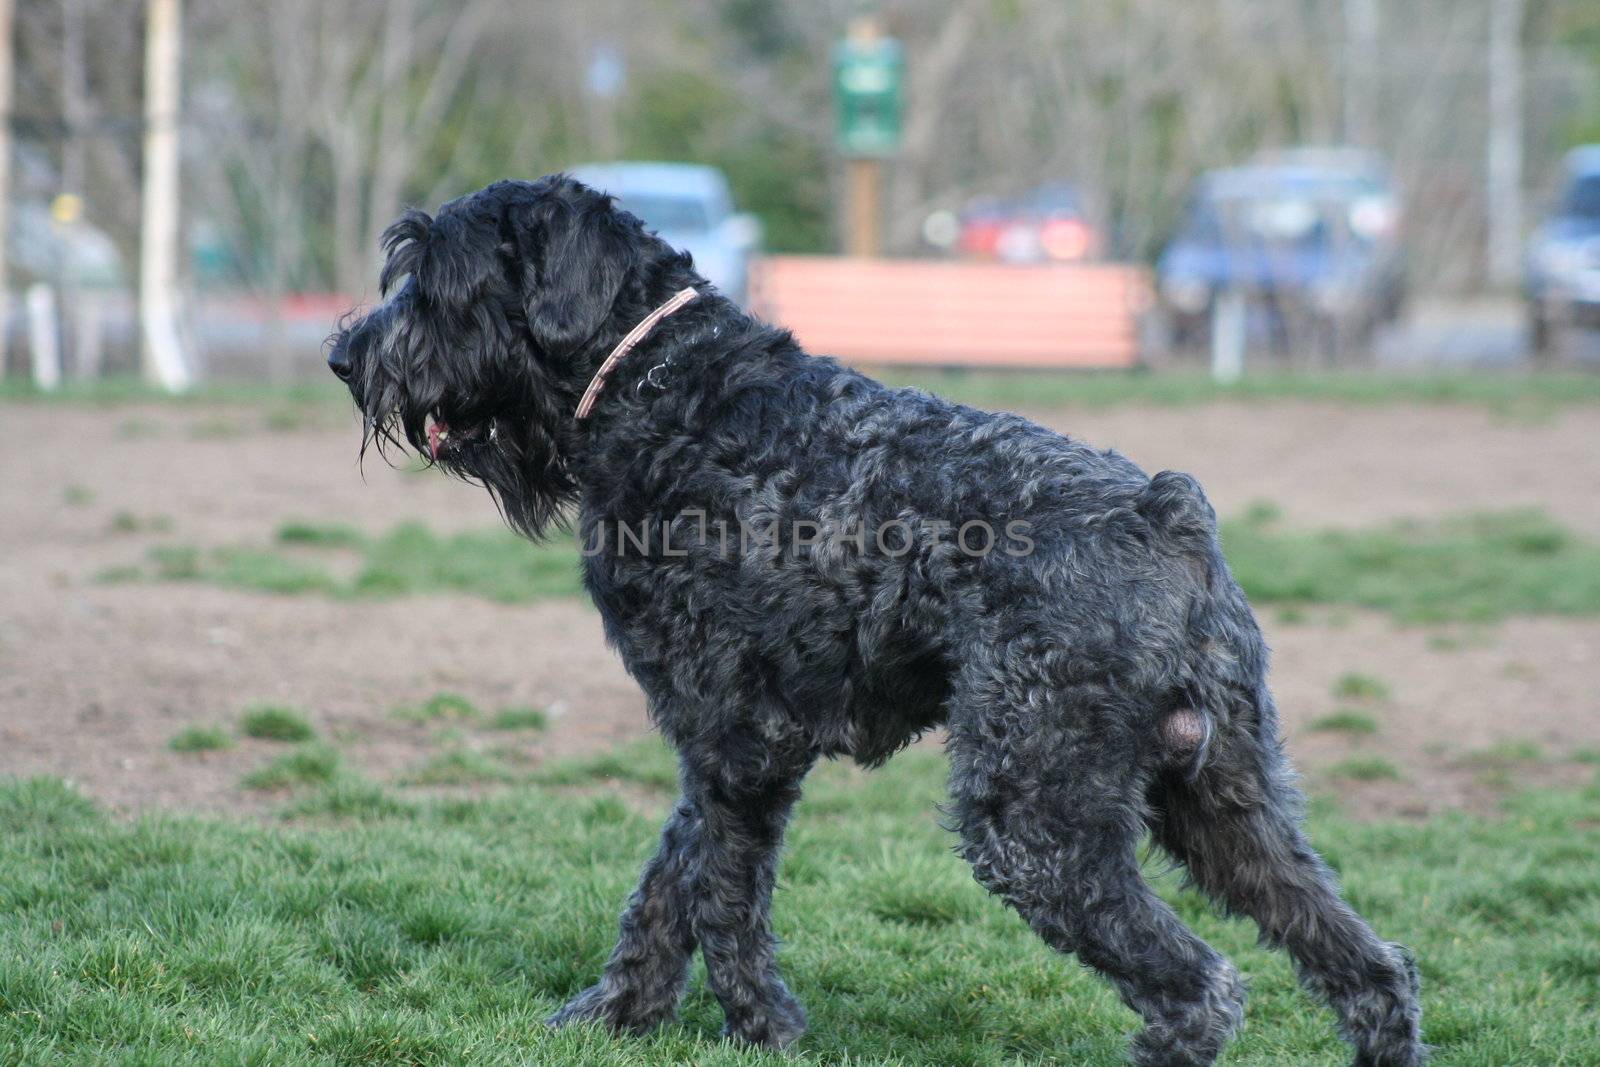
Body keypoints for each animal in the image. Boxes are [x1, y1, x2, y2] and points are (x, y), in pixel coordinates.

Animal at [324, 177, 1427, 1067]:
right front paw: (615, 1012)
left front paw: (761, 1028)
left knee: (1199, 989)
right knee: (1367, 965)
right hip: (1226, 801)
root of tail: (1167, 512)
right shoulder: (718, 743)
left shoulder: (739, 737)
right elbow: (671, 877)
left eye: (435, 278)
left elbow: (721, 892)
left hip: (1033, 817)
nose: (343, 354)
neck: (667, 390)